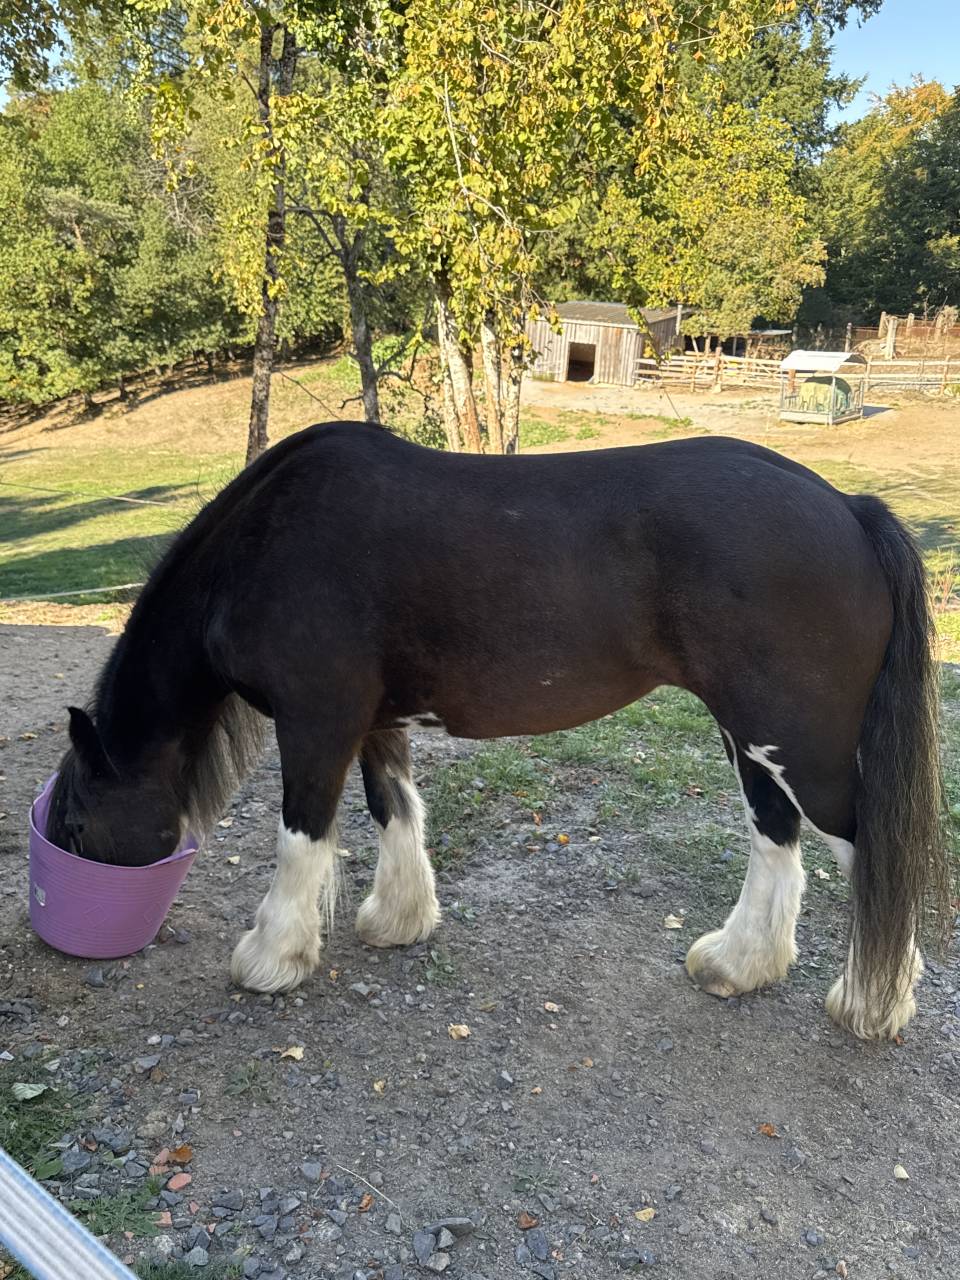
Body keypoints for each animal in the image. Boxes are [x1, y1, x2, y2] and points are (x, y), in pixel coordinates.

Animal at [47, 422, 949, 1041]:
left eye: (80, 824)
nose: (66, 922)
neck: (264, 545)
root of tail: (849, 509)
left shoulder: (315, 721)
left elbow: (301, 837)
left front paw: (273, 957)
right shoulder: (371, 721)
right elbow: (393, 810)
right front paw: (398, 920)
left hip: (801, 742)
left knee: (869, 854)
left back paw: (870, 1003)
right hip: (752, 734)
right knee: (776, 839)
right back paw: (739, 965)